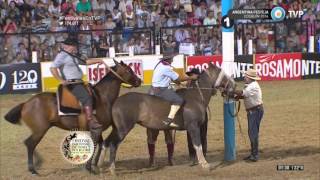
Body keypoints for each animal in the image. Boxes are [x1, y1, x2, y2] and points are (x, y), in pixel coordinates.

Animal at [3, 60, 141, 174]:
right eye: (129, 70)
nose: (139, 81)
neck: (101, 98)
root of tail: (26, 103)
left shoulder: (98, 129)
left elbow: (101, 144)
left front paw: (95, 165)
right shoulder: (94, 129)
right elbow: (94, 145)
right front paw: (89, 168)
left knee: (28, 143)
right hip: (40, 130)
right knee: (30, 144)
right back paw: (33, 169)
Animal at [97, 63, 235, 174]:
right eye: (223, 74)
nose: (232, 85)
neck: (196, 96)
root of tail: (117, 101)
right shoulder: (193, 127)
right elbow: (198, 145)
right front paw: (205, 164)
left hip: (117, 129)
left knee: (106, 143)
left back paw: (99, 165)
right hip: (123, 129)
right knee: (113, 144)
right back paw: (112, 169)